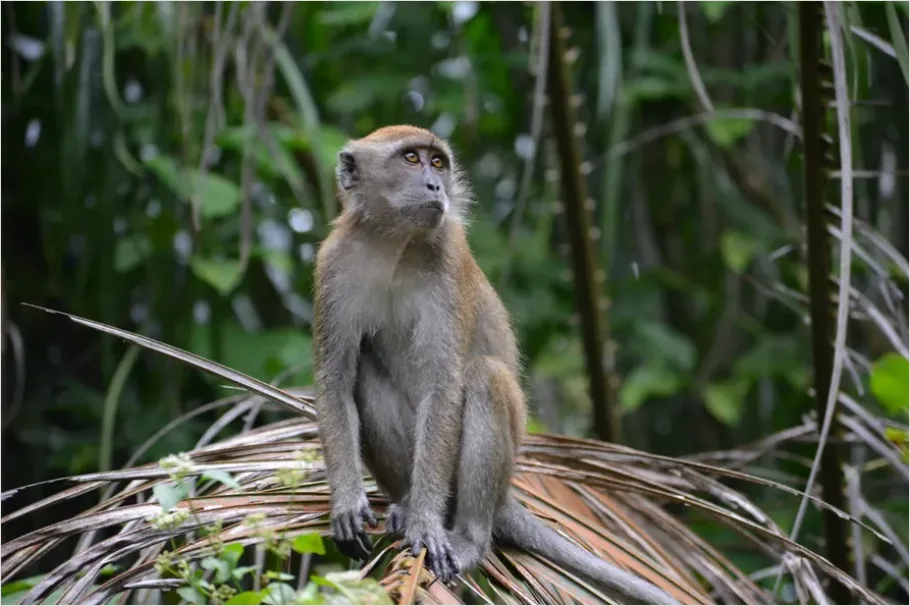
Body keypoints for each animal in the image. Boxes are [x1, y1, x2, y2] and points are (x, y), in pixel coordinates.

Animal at [312, 125, 679, 605]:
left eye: (437, 163)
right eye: (411, 159)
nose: (435, 186)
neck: (394, 242)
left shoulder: (447, 264)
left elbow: (445, 386)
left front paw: (426, 524)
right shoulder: (334, 264)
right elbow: (335, 380)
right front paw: (348, 502)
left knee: (484, 379)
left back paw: (468, 535)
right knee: (365, 369)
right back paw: (407, 504)